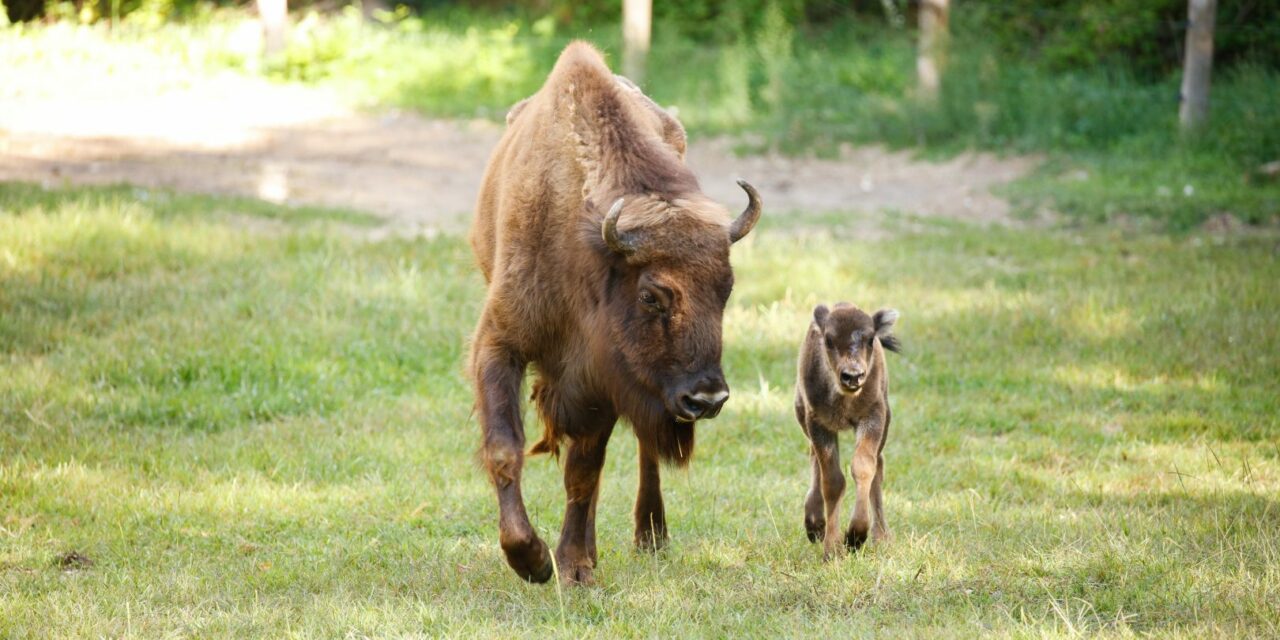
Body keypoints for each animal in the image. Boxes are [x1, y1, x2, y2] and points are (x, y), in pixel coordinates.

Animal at [471, 41, 757, 586]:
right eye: (651, 296)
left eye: (726, 289)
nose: (707, 398)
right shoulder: (501, 343)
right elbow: (505, 449)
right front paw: (532, 560)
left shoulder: (601, 378)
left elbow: (583, 472)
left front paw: (572, 565)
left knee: (644, 448)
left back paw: (649, 535)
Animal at [788, 302, 901, 558]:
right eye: (829, 340)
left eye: (870, 339)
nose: (853, 376)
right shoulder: (818, 423)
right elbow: (832, 481)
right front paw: (832, 549)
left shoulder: (873, 417)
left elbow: (863, 467)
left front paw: (855, 537)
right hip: (802, 415)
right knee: (814, 458)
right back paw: (814, 525)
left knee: (879, 465)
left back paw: (881, 536)